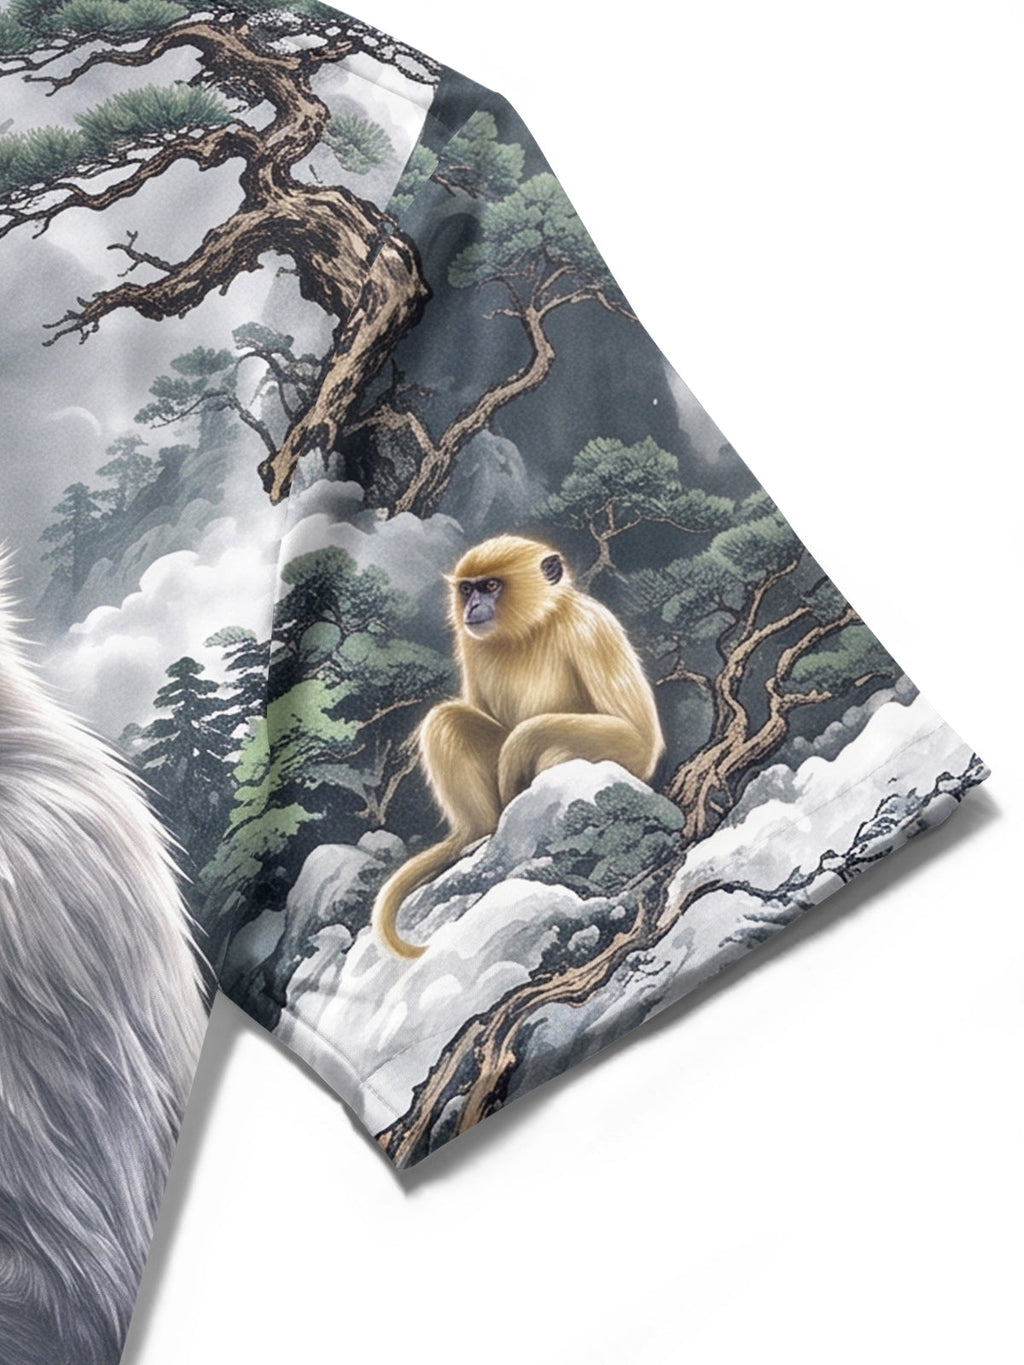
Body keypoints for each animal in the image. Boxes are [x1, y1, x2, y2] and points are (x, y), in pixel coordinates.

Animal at [373, 534, 665, 958]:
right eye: (468, 589)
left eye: (491, 586)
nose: (472, 606)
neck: (530, 628)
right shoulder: (470, 641)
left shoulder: (588, 628)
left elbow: (639, 736)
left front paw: (520, 744)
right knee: (447, 720)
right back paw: (478, 833)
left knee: (556, 750)